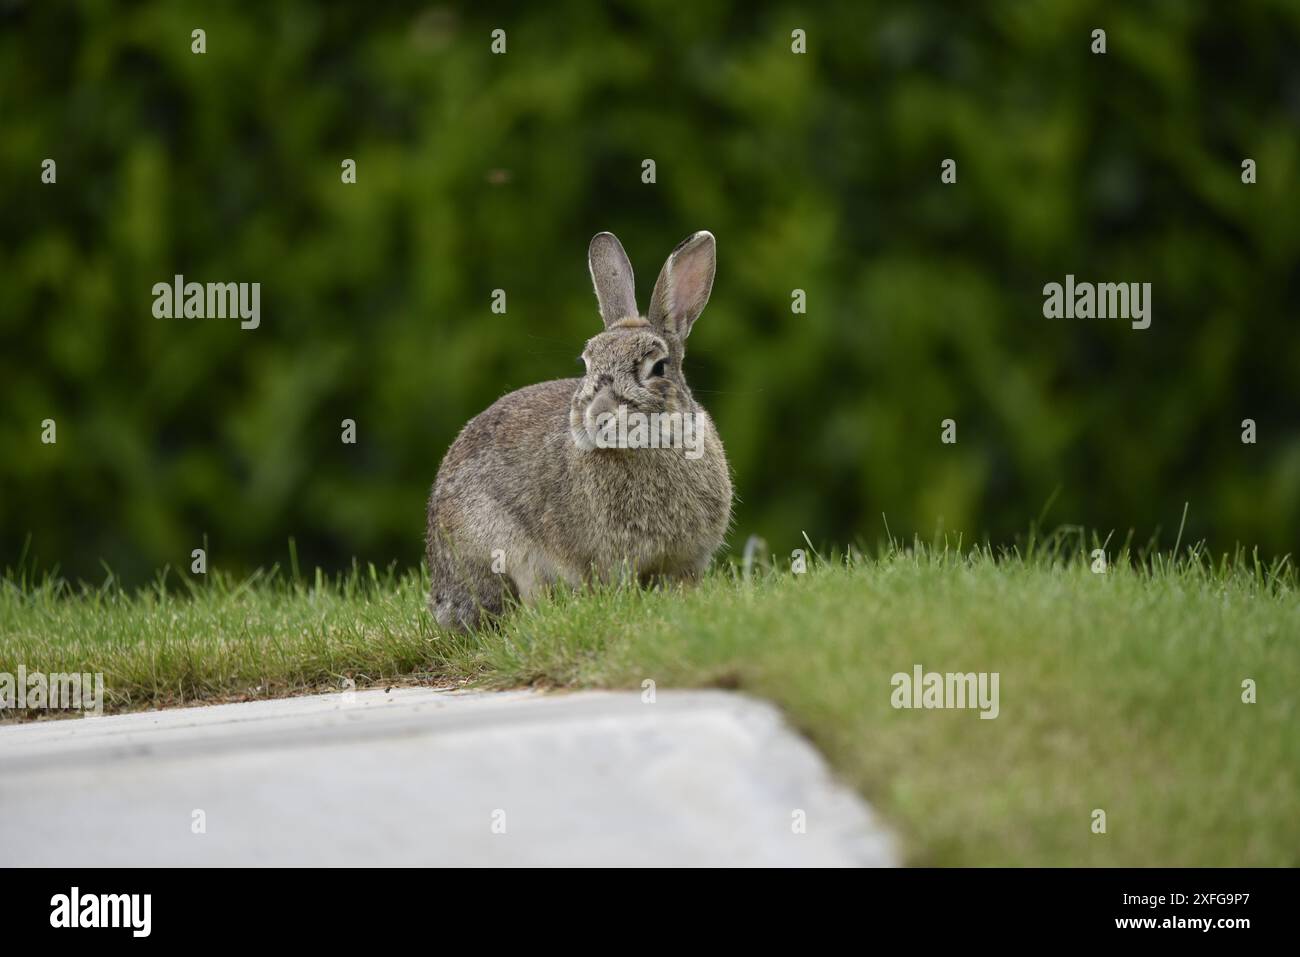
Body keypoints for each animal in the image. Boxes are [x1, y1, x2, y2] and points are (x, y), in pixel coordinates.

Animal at [426, 227, 733, 631]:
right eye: (586, 364)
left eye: (658, 367)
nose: (598, 414)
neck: (651, 445)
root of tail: (445, 596)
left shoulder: (687, 562)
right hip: (505, 549)